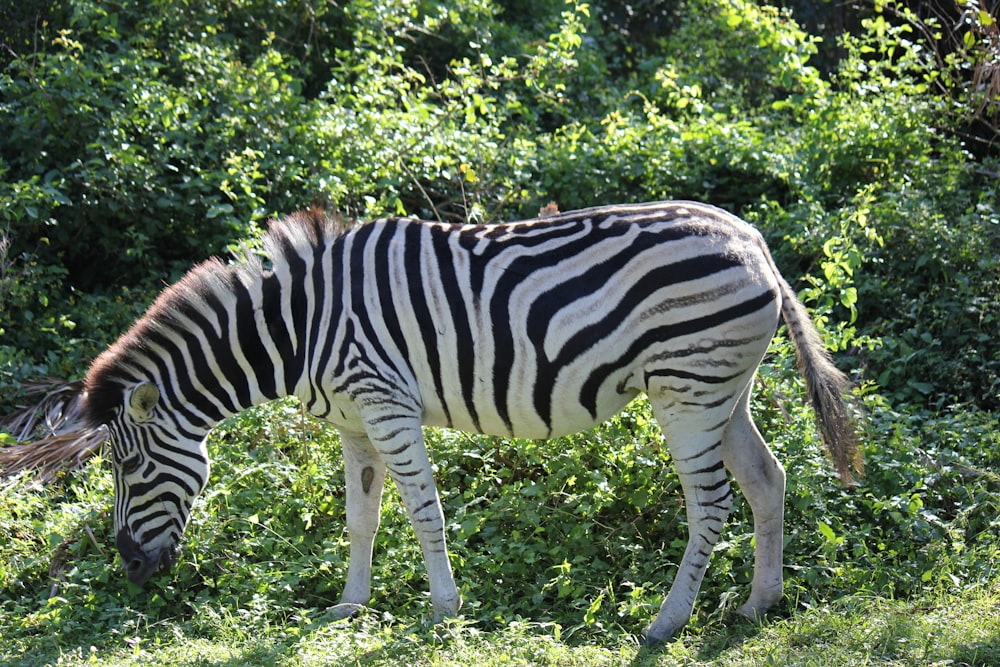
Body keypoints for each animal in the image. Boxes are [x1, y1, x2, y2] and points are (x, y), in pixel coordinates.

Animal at [80, 198, 860, 640]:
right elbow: (360, 518)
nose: (130, 566)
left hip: (686, 390)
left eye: (129, 467)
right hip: (722, 388)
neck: (298, 329)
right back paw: (759, 603)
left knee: (712, 503)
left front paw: (444, 609)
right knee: (766, 479)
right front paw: (349, 605)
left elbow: (423, 510)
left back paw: (667, 622)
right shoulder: (353, 421)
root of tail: (755, 243)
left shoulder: (387, 402)